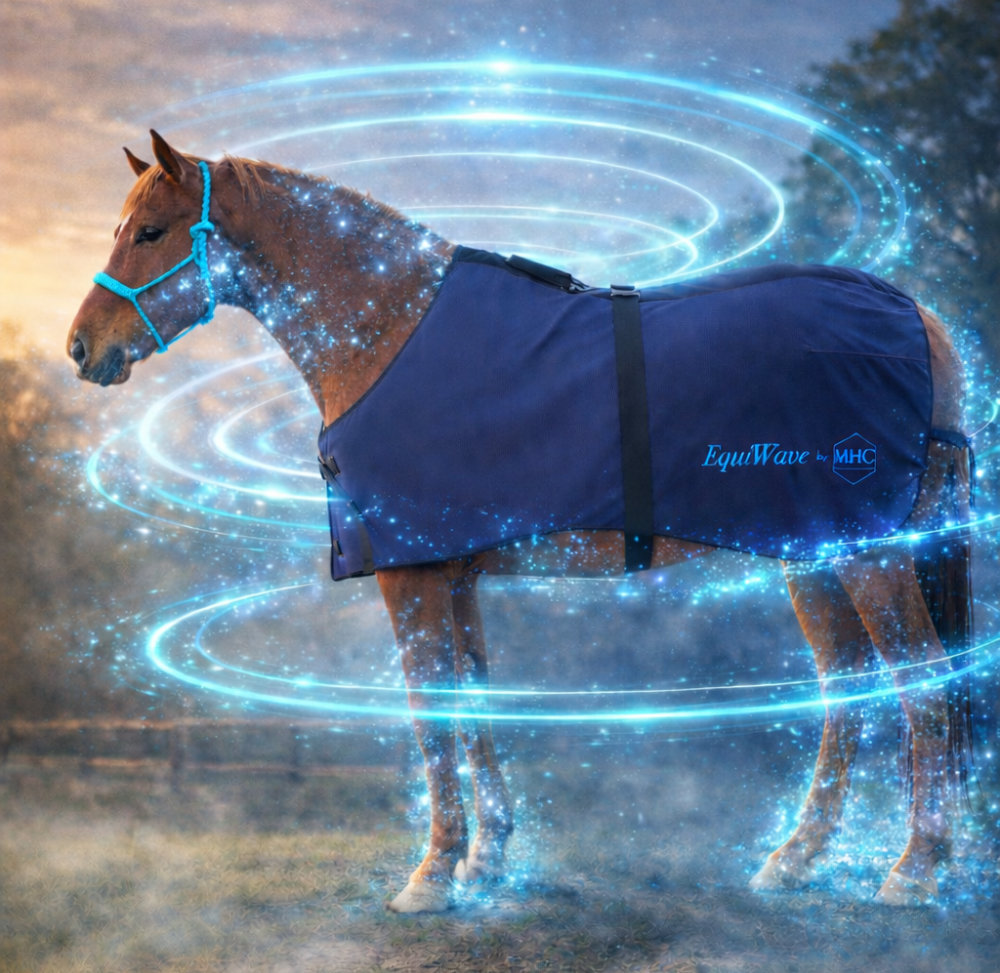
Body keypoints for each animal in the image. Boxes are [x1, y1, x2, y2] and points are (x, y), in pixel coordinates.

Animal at [68, 131, 973, 912]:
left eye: (150, 231)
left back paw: (913, 870)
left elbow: (432, 710)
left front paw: (431, 876)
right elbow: (474, 698)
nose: (81, 348)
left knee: (925, 686)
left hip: (868, 555)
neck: (389, 326)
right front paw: (485, 860)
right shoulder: (456, 572)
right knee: (848, 689)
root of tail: (916, 317)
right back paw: (795, 859)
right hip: (809, 555)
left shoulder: (411, 576)